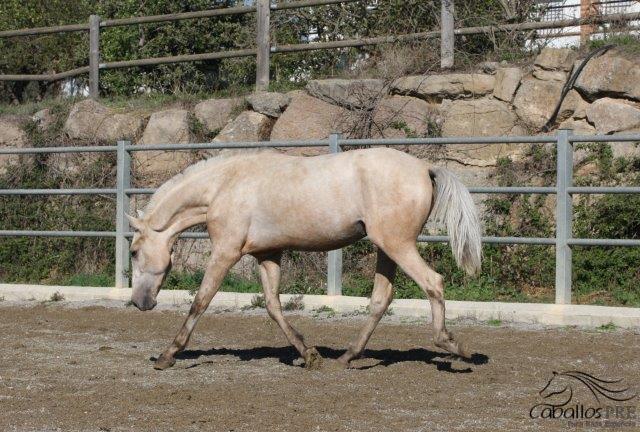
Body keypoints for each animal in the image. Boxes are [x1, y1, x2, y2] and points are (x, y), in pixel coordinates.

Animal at [127, 147, 482, 370]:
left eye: (133, 251)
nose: (139, 303)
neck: (225, 186)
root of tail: (424, 168)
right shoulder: (267, 254)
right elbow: (273, 306)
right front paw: (309, 354)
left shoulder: (225, 252)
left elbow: (200, 301)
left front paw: (167, 356)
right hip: (387, 249)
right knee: (381, 300)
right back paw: (347, 357)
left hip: (398, 245)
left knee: (433, 282)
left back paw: (454, 346)